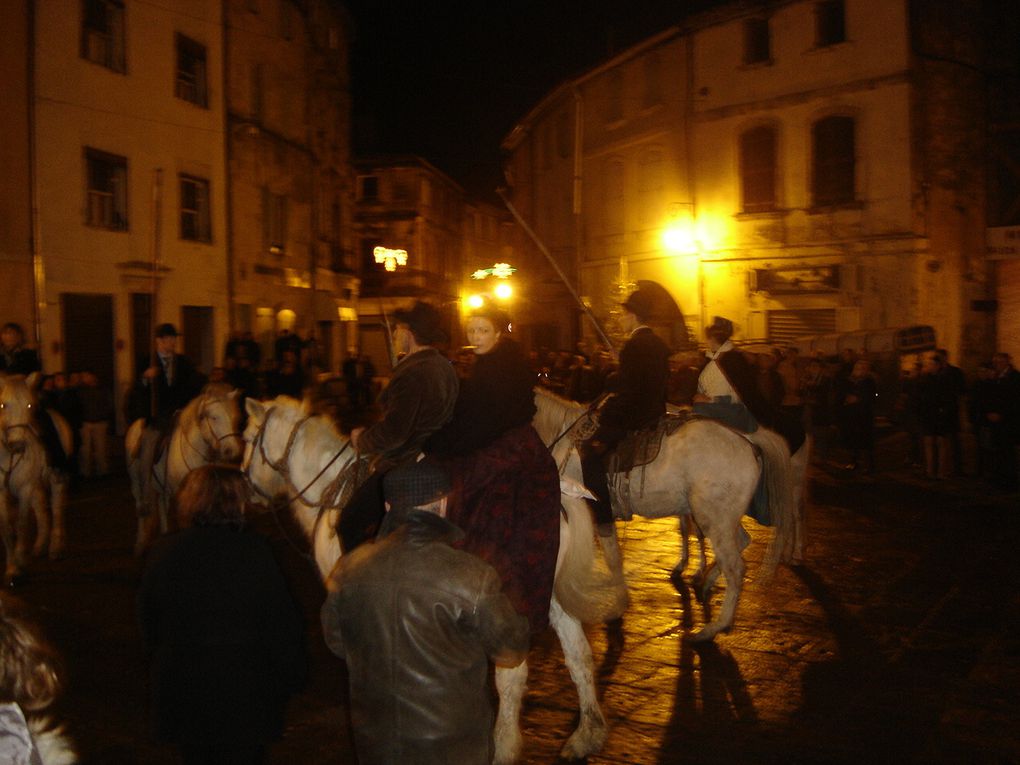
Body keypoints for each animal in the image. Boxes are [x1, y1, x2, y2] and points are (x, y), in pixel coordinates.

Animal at [0, 375, 72, 583]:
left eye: (29, 405)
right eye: (3, 405)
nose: (18, 445)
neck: (8, 456)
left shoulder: (24, 488)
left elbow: (22, 524)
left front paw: (19, 564)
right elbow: (6, 528)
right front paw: (11, 567)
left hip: (56, 479)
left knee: (56, 509)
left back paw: (56, 548)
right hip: (36, 485)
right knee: (41, 509)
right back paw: (40, 545)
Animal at [123, 385, 240, 554]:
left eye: (233, 417)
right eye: (214, 417)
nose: (232, 450)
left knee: (162, 505)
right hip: (136, 482)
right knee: (141, 508)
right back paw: (140, 544)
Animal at [244, 395, 628, 765]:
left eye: (247, 438)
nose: (247, 491)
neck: (331, 491)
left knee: (513, 675)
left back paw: (503, 749)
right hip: (550, 596)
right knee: (579, 656)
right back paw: (586, 736)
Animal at [530, 385, 807, 644]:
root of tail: (748, 442)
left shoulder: (591, 511)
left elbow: (608, 555)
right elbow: (613, 555)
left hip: (713, 518)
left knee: (735, 567)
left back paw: (712, 629)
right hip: (719, 517)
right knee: (741, 542)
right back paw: (707, 583)